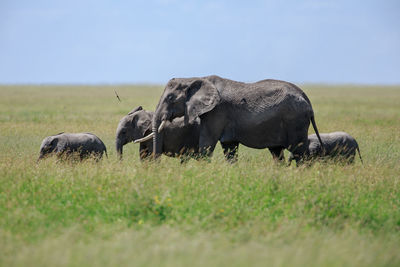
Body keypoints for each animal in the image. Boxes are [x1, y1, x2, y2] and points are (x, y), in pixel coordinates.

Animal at [148, 74, 324, 164]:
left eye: (170, 98)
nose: (156, 165)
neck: (194, 78)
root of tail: (306, 98)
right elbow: (229, 147)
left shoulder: (216, 111)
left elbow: (207, 144)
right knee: (277, 152)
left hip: (295, 121)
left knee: (299, 152)